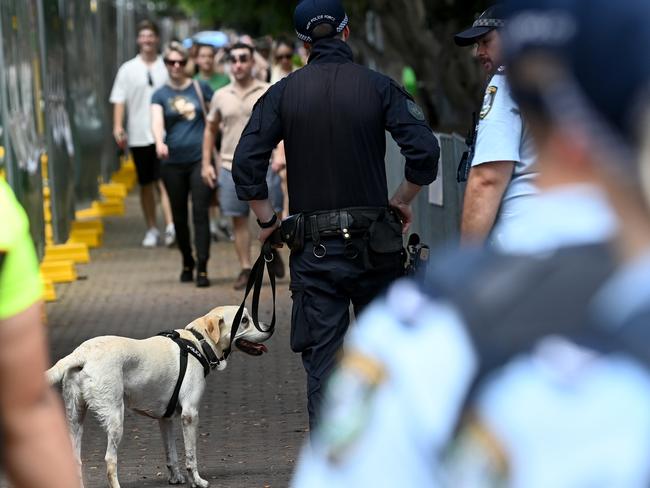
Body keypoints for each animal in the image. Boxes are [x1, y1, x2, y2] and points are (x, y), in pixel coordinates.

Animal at [45, 306, 268, 486]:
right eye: (245, 320)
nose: (268, 327)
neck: (197, 342)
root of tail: (81, 353)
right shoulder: (190, 415)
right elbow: (191, 456)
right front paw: (196, 481)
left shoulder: (165, 419)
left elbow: (172, 454)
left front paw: (176, 478)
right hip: (115, 418)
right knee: (110, 460)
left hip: (75, 418)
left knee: (75, 460)